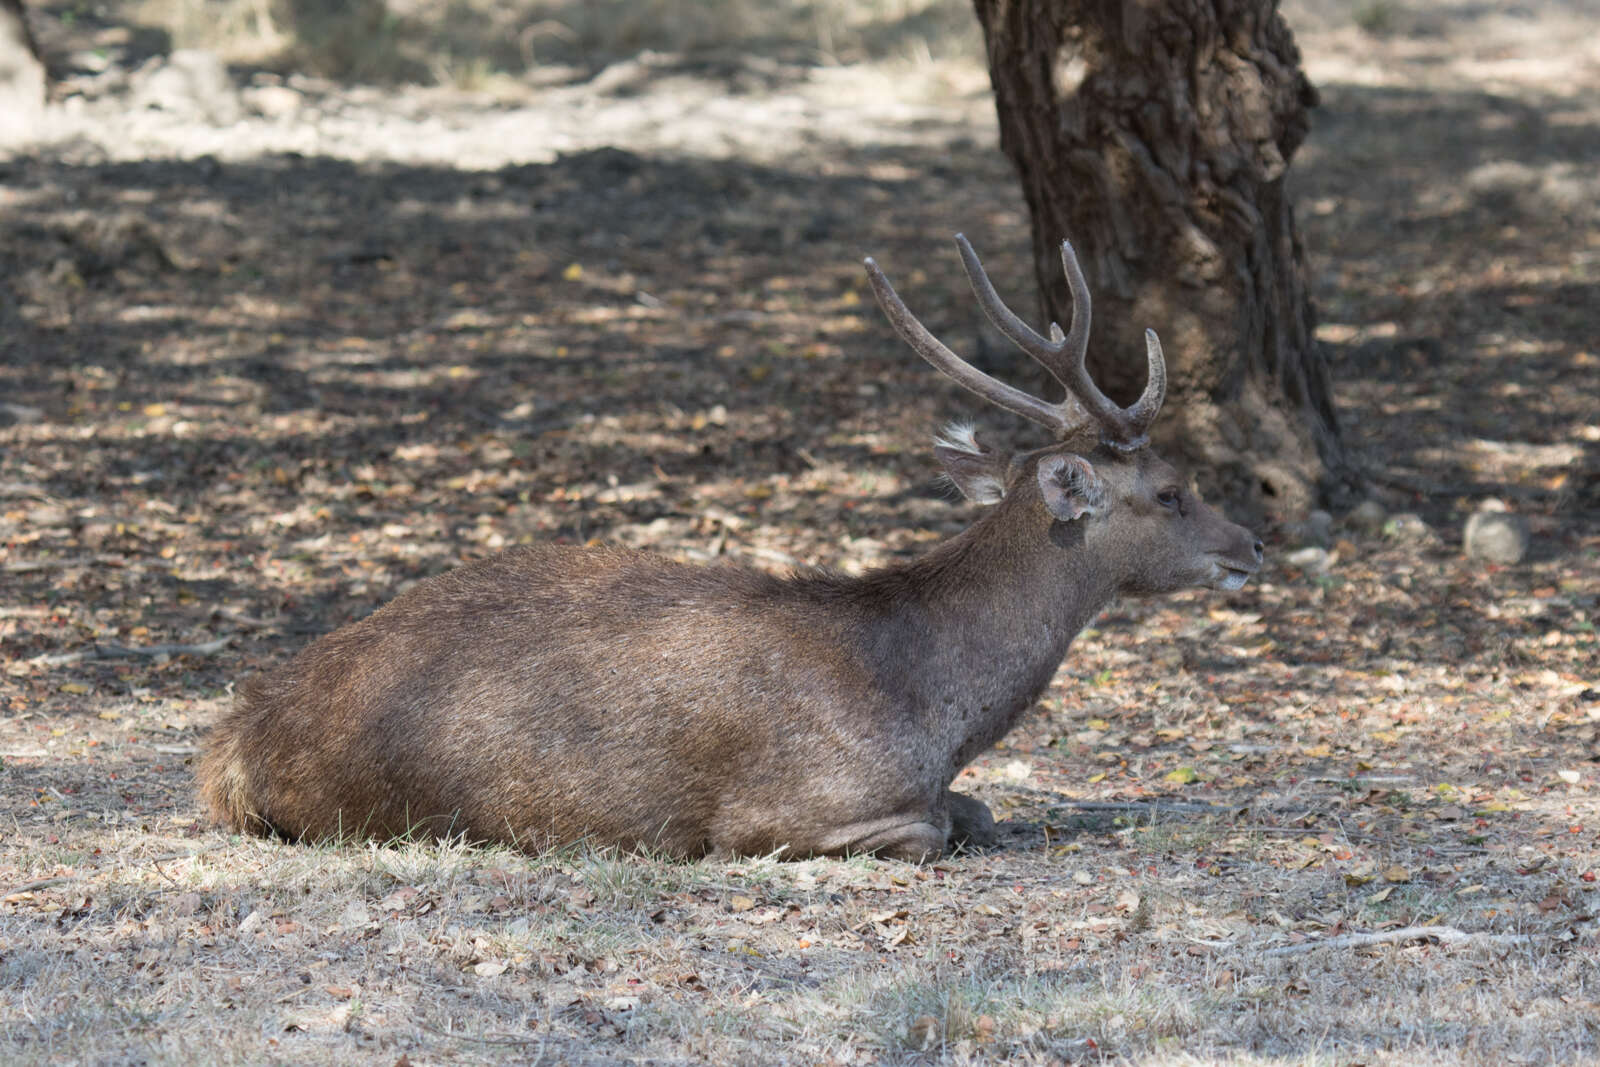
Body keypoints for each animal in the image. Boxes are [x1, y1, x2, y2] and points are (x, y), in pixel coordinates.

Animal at [196, 238, 1260, 863]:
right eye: (1171, 489)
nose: (1250, 543)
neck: (928, 703)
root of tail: (233, 744)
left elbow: (982, 809)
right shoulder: (788, 810)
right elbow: (936, 827)